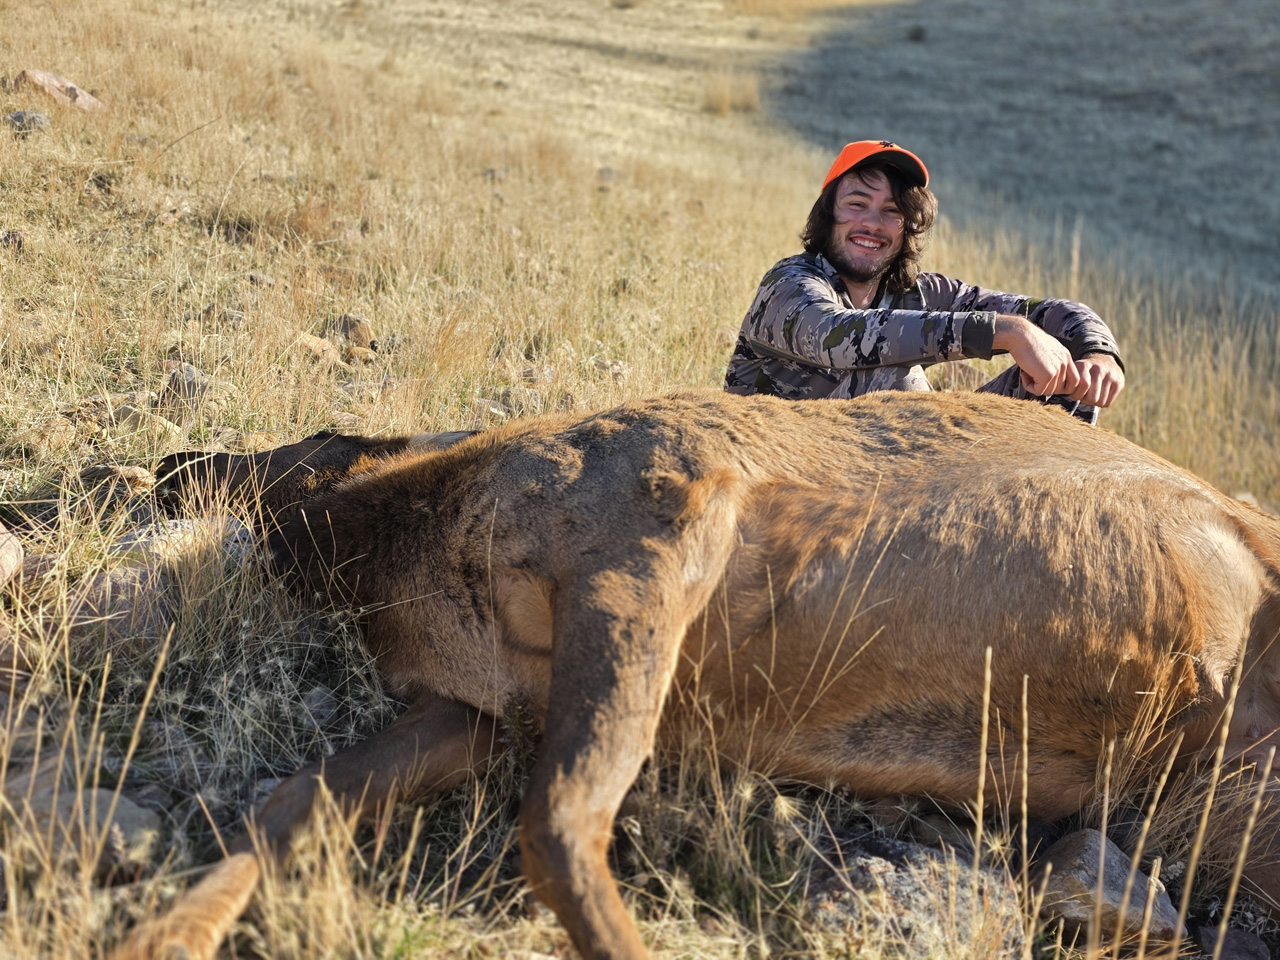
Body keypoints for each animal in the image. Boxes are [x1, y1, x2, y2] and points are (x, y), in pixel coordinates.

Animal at [114, 389, 1280, 960]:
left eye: (303, 437)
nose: (161, 464)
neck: (418, 539)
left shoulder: (657, 528)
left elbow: (559, 826)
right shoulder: (476, 711)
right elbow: (289, 804)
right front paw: (161, 937)